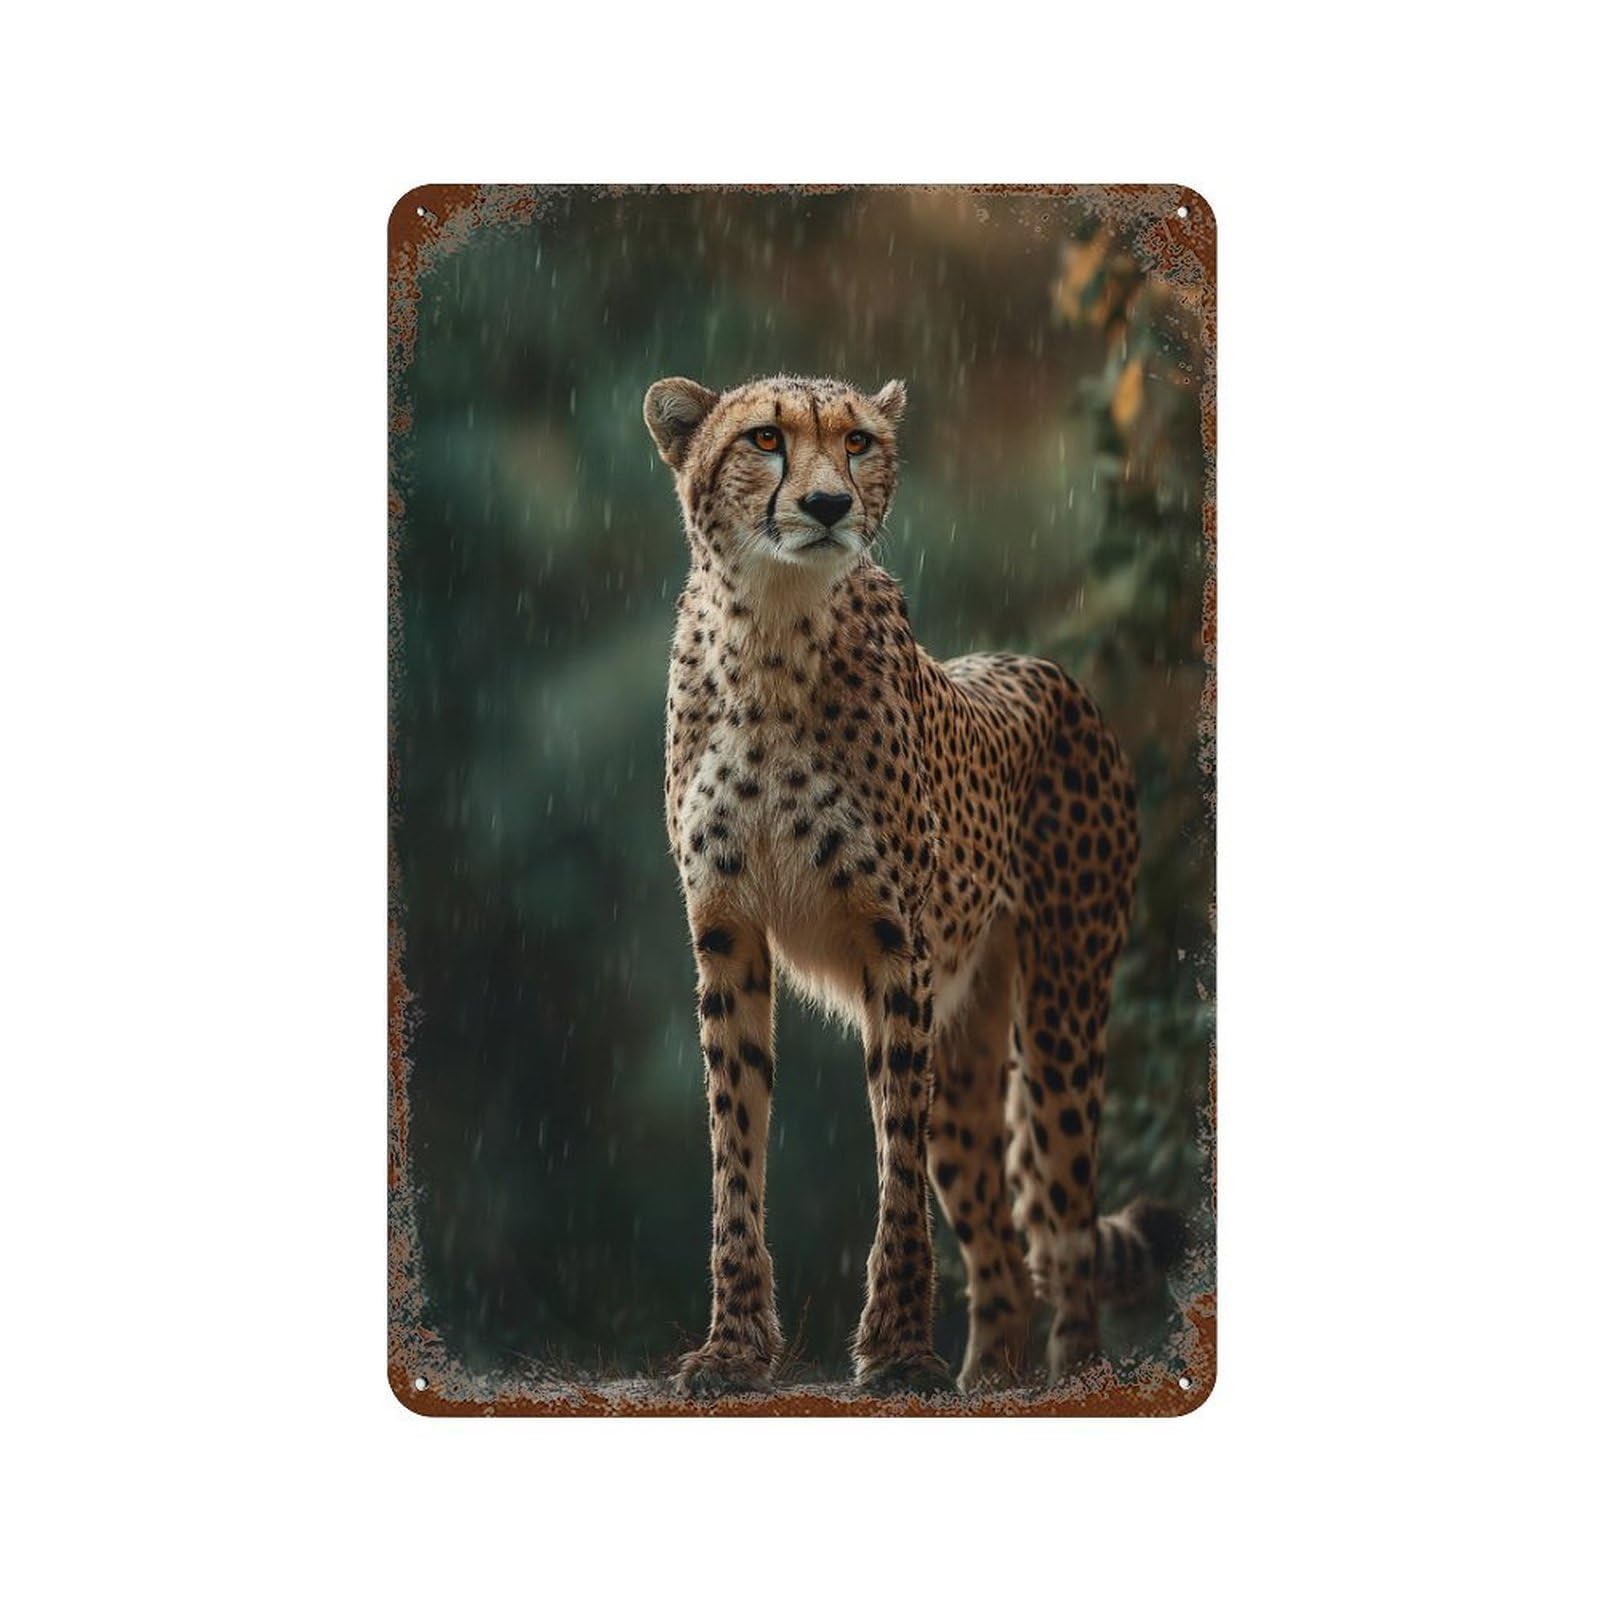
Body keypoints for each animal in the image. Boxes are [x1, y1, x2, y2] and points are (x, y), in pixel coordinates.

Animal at [644, 371, 1182, 1397]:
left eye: (857, 442)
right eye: (765, 439)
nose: (827, 505)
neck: (772, 629)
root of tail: (1045, 668)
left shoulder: (895, 942)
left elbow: (893, 1154)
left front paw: (895, 1348)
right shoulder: (726, 931)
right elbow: (737, 1149)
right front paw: (734, 1348)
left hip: (1060, 1015)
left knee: (1063, 1231)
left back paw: (1070, 1377)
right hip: (969, 1046)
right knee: (1003, 1251)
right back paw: (990, 1380)